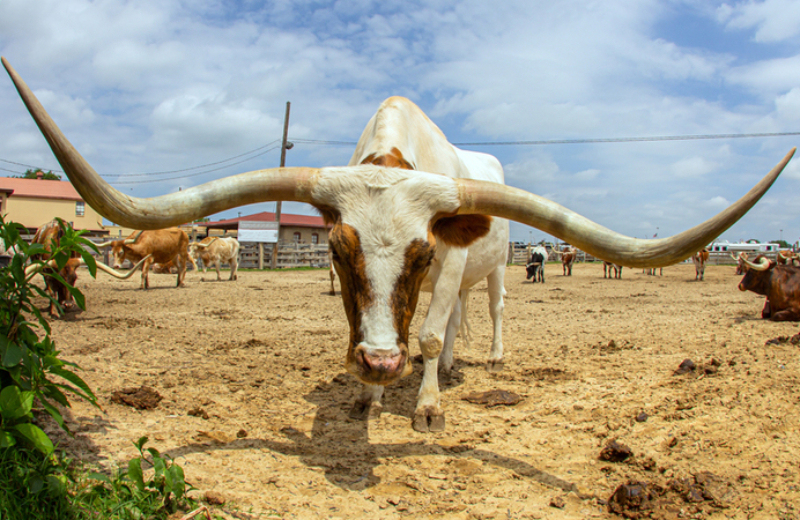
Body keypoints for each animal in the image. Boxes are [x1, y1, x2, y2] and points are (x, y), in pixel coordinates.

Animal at [4, 55, 792, 430]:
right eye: (337, 251)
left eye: (419, 253)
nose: (382, 362)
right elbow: (386, 331)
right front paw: (371, 394)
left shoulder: (449, 265)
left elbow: (434, 334)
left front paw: (426, 403)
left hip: (496, 269)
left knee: (490, 311)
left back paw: (484, 358)